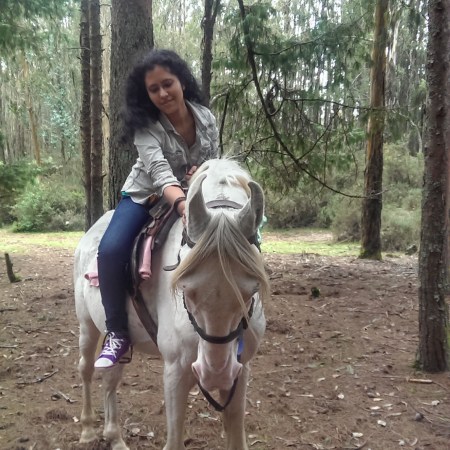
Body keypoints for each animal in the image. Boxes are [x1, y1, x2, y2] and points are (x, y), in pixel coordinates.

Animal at [73, 158, 270, 450]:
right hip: (87, 325)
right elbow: (174, 439)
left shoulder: (241, 370)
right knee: (86, 369)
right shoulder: (176, 371)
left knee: (110, 379)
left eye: (253, 290)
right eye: (185, 288)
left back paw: (115, 437)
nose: (216, 375)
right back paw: (87, 430)